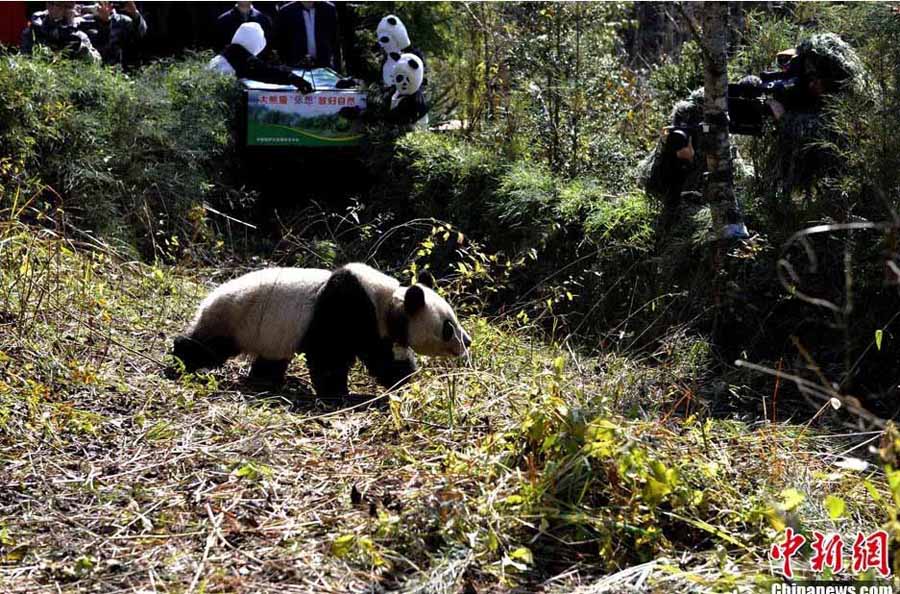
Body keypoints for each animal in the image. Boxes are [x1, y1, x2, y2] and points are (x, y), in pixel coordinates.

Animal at [171, 262, 474, 394]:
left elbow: (385, 357)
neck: (390, 303)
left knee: (271, 358)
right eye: (448, 327)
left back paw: (268, 380)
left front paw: (403, 380)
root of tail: (206, 301)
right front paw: (336, 393)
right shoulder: (347, 306)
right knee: (207, 346)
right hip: (233, 318)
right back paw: (180, 361)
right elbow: (330, 354)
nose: (468, 341)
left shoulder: (378, 328)